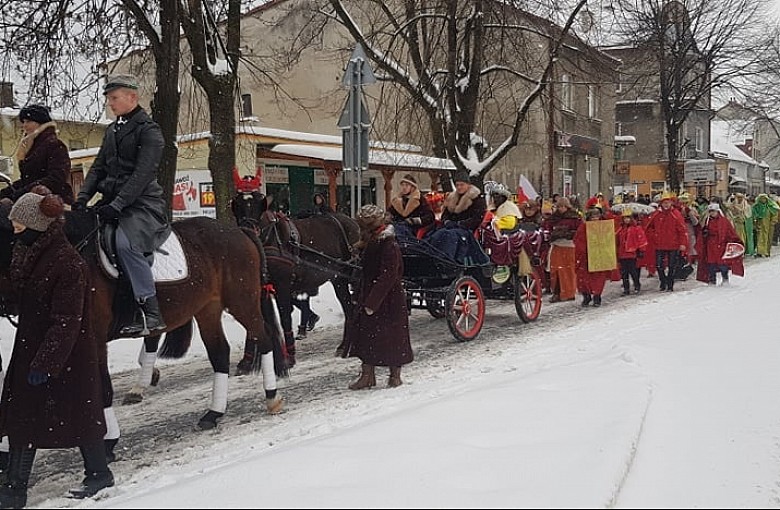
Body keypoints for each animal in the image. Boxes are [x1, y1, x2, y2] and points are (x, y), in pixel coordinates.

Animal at [0, 208, 284, 442]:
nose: (8, 304)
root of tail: (239, 231)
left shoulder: (94, 335)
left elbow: (102, 386)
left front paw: (109, 442)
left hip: (241, 302)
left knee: (265, 339)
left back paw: (272, 397)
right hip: (208, 309)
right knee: (220, 354)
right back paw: (213, 413)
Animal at [233, 201, 362, 372]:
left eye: (259, 204)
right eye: (237, 204)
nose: (247, 230)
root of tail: (353, 222)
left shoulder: (282, 286)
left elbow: (285, 318)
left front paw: (289, 357)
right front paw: (247, 362)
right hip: (339, 280)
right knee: (349, 309)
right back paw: (344, 346)